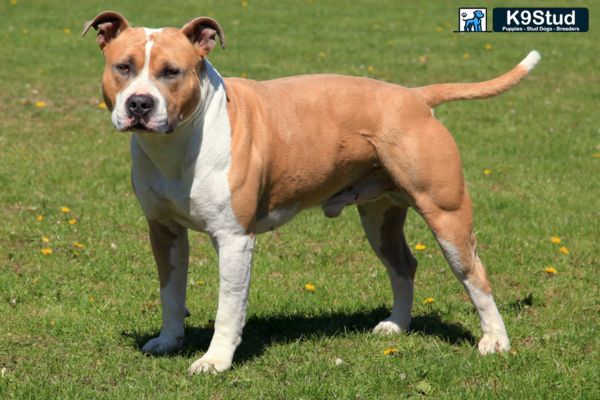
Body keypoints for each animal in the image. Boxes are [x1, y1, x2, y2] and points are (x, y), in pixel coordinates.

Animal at [83, 10, 540, 374]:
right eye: (123, 67)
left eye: (172, 72)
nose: (140, 105)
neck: (178, 143)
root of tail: (414, 96)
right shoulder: (164, 231)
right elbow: (171, 292)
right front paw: (169, 340)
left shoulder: (234, 239)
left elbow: (228, 307)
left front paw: (215, 360)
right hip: (380, 216)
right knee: (403, 265)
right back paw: (396, 325)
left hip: (446, 214)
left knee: (474, 275)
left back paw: (495, 341)